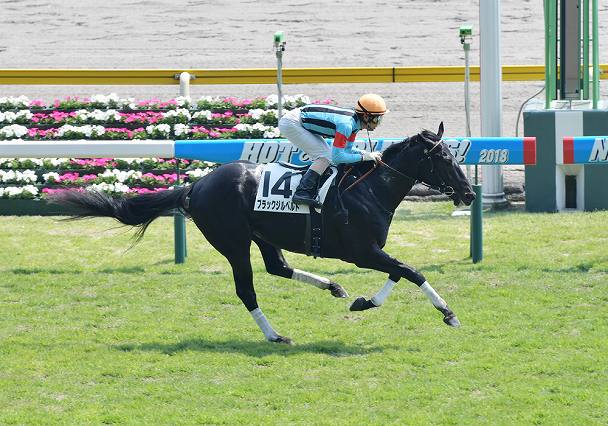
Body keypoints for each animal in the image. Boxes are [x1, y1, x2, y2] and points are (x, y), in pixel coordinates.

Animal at [50, 123, 475, 344]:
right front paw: (449, 313)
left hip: (262, 237)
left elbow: (399, 271)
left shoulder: (370, 251)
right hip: (234, 243)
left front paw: (361, 301)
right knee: (247, 289)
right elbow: (410, 271)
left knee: (278, 267)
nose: (469, 193)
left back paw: (332, 287)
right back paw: (275, 335)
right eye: (443, 157)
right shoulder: (360, 251)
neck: (369, 189)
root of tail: (196, 186)